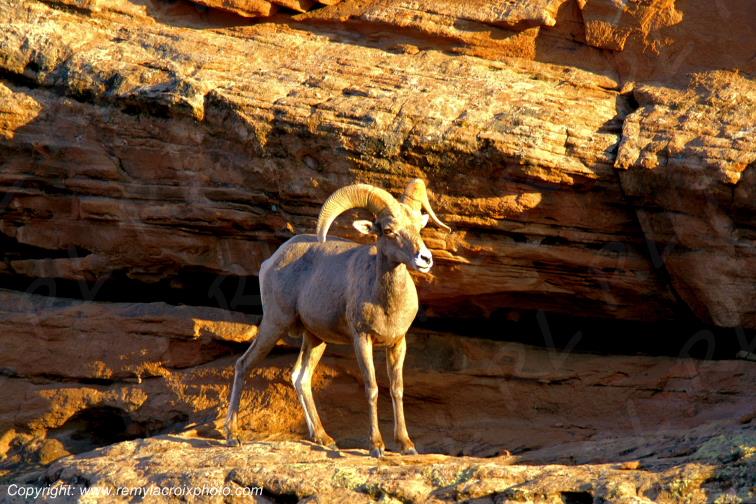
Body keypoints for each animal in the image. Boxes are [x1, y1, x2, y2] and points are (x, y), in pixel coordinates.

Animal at [224, 178, 450, 457]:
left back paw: (324, 438)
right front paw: (376, 446)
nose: (425, 259)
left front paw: (407, 445)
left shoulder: (398, 343)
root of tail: (271, 260)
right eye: (388, 230)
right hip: (274, 324)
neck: (385, 303)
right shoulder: (362, 340)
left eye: (419, 226)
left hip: (315, 339)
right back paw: (232, 436)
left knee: (300, 378)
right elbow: (372, 388)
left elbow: (397, 389)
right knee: (244, 364)